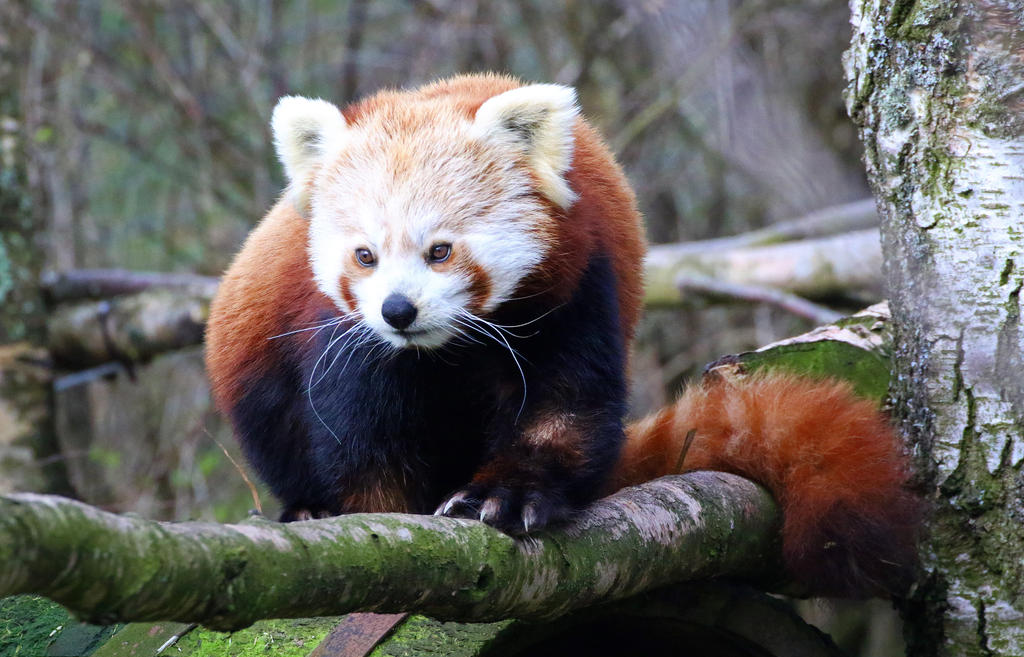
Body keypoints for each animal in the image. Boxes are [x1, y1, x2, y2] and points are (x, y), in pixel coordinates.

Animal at [205, 74, 921, 597]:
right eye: (364, 256)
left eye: (440, 251)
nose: (398, 311)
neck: (446, 352)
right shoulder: (344, 344)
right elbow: (360, 447)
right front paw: (379, 518)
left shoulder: (574, 290)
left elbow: (565, 408)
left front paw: (505, 495)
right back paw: (306, 510)